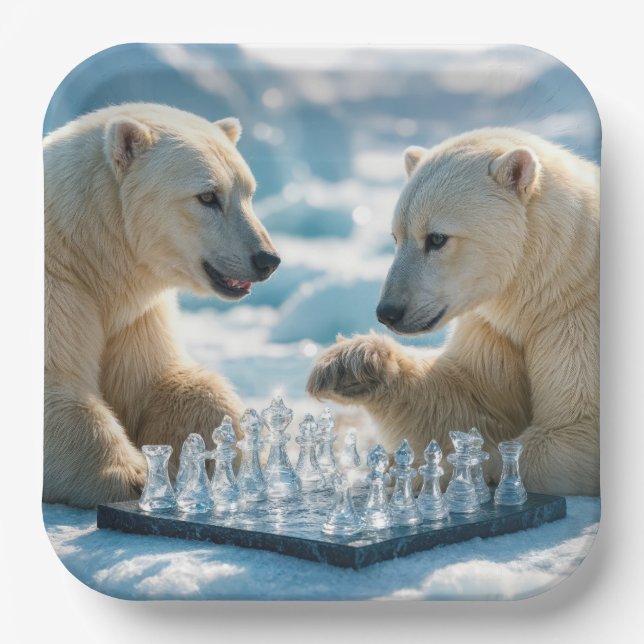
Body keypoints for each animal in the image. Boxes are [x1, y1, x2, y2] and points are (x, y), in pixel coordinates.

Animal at [44, 103, 280, 508]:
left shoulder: (137, 313)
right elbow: (55, 386)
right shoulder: (58, 284)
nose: (266, 258)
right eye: (207, 196)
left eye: (248, 192)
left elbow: (159, 382)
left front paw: (228, 449)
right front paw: (134, 477)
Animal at [307, 128, 599, 496]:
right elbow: (471, 400)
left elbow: (579, 426)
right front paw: (350, 365)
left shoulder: (575, 320)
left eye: (436, 238)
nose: (388, 311)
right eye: (396, 236)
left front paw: (425, 470)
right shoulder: (493, 325)